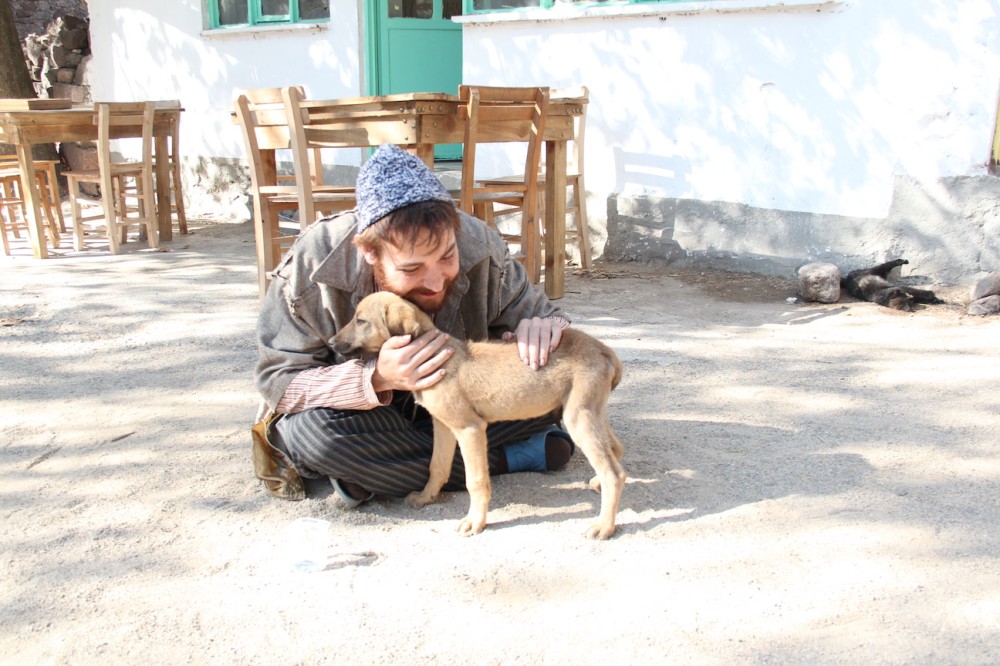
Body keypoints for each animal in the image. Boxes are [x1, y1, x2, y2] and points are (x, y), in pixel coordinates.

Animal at [332, 292, 624, 540]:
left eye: (360, 320)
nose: (331, 342)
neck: (438, 357)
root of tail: (603, 349)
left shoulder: (469, 429)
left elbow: (476, 480)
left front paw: (475, 522)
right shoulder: (443, 427)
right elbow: (436, 466)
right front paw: (426, 497)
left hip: (578, 417)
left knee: (613, 473)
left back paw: (604, 526)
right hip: (591, 412)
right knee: (615, 451)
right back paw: (598, 485)